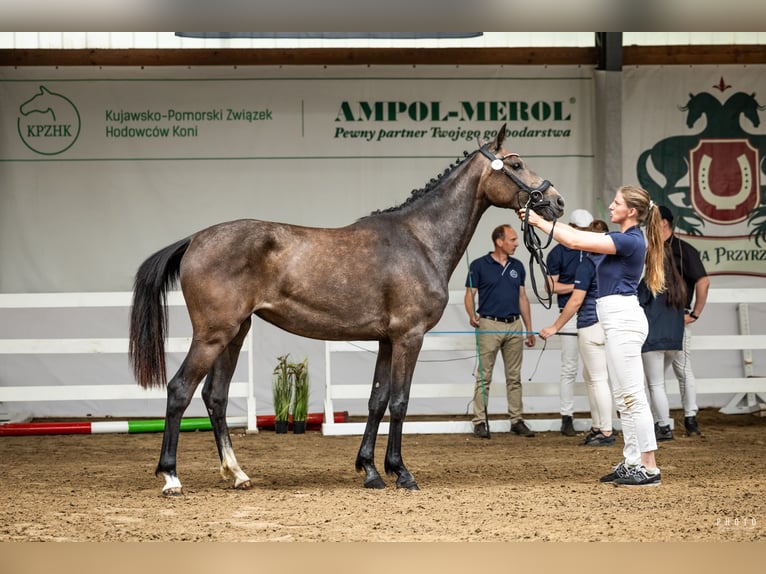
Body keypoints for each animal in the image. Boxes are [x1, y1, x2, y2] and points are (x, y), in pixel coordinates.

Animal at [128, 124, 565, 496]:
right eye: (515, 164)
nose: (556, 201)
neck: (419, 240)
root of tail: (195, 239)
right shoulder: (409, 337)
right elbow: (400, 402)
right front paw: (401, 472)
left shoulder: (387, 340)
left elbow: (377, 400)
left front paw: (370, 470)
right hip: (212, 336)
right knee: (179, 390)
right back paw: (171, 477)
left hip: (234, 335)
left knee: (215, 397)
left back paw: (236, 473)